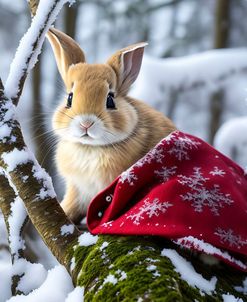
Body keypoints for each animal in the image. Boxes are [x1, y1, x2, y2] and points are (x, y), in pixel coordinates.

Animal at [47, 28, 177, 222]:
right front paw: (66, 213)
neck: (91, 148)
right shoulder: (77, 189)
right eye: (69, 98)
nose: (86, 123)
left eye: (110, 100)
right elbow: (72, 205)